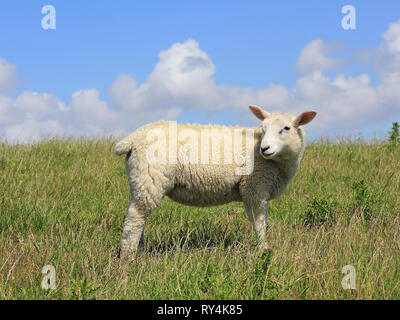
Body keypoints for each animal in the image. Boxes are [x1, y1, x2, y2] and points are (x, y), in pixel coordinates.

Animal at [115, 105, 316, 260]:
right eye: (264, 129)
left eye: (286, 128)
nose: (264, 148)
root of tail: (133, 138)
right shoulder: (255, 187)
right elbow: (259, 223)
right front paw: (264, 249)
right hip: (150, 178)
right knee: (135, 217)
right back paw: (128, 258)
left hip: (139, 180)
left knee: (139, 217)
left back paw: (139, 252)